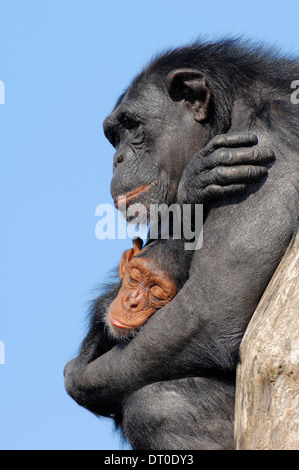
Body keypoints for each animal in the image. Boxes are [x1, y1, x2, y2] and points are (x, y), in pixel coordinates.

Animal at [65, 38, 299, 450]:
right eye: (114, 135)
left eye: (133, 126)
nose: (118, 158)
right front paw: (193, 183)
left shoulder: (271, 149)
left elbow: (206, 314)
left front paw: (77, 378)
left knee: (160, 406)